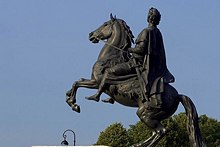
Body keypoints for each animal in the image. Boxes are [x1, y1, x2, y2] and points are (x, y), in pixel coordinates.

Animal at [65, 14, 203, 146]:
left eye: (105, 24)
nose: (91, 35)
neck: (111, 57)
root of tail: (177, 95)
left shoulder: (98, 82)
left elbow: (79, 83)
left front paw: (76, 104)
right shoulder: (94, 82)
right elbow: (77, 82)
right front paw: (71, 101)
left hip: (145, 113)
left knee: (161, 131)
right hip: (149, 115)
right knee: (155, 132)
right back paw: (137, 144)